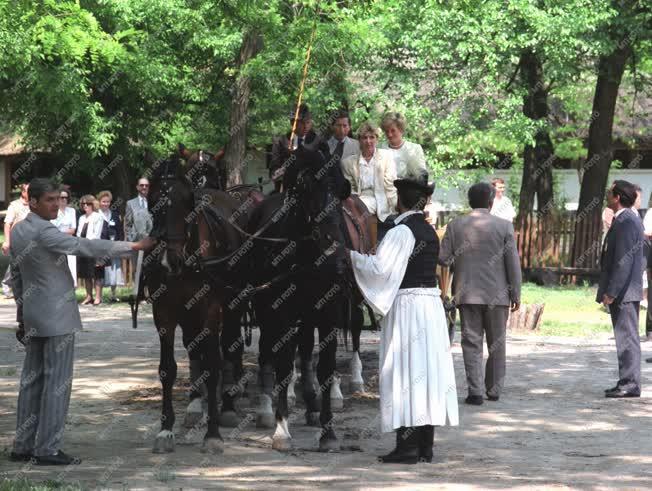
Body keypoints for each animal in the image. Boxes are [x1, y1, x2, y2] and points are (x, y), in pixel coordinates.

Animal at [144, 149, 243, 454]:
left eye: (185, 202)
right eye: (153, 202)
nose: (169, 261)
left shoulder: (210, 312)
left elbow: (213, 365)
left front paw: (212, 433)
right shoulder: (164, 313)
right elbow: (168, 369)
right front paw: (166, 429)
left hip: (234, 303)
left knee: (231, 346)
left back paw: (229, 404)